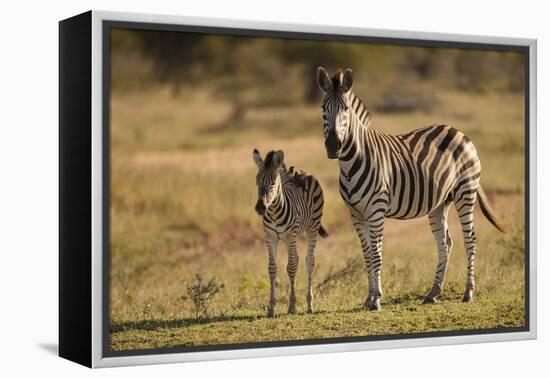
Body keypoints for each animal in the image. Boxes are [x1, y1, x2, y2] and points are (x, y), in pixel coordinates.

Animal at [253, 148, 328, 316]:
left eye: (273, 183)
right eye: (257, 181)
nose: (260, 208)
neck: (274, 212)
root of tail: (302, 173)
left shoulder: (290, 235)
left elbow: (291, 268)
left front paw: (292, 306)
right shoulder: (270, 237)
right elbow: (272, 268)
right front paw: (271, 308)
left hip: (312, 228)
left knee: (309, 261)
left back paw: (309, 305)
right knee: (299, 259)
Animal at [316, 67, 506, 310]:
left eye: (346, 109)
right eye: (323, 109)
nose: (333, 146)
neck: (352, 162)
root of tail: (458, 131)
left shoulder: (376, 210)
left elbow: (376, 254)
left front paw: (376, 299)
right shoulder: (355, 214)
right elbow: (367, 254)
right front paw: (369, 298)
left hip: (466, 192)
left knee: (470, 239)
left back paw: (468, 293)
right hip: (439, 202)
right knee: (445, 243)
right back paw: (433, 293)